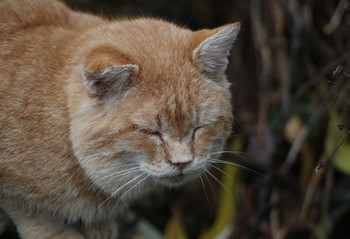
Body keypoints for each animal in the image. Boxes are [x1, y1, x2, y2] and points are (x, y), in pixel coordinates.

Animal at [0, 0, 239, 238]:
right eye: (150, 132)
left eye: (198, 128)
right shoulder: (11, 188)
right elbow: (31, 212)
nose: (182, 163)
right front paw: (53, 231)